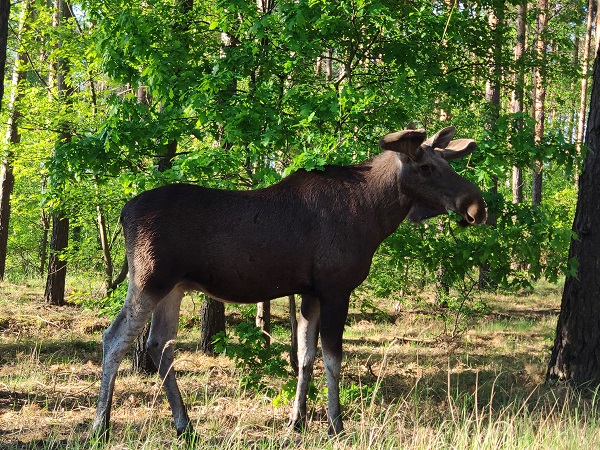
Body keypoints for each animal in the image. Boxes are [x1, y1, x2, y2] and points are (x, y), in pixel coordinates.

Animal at [94, 124, 488, 440]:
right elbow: (332, 357)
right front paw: (336, 425)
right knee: (115, 338)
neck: (376, 215)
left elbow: (304, 356)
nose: (476, 207)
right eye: (426, 167)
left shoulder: (310, 291)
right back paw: (102, 425)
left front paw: (296, 422)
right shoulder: (335, 287)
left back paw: (184, 425)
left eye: (449, 164)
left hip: (173, 287)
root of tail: (123, 212)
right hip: (148, 279)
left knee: (159, 343)